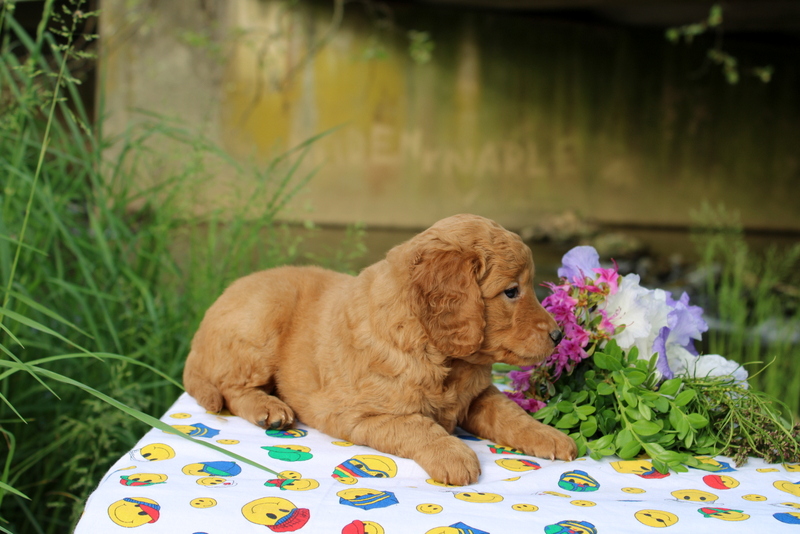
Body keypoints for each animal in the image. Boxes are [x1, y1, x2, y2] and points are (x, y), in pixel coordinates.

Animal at [184, 214, 580, 486]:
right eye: (512, 291)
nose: (559, 334)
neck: (438, 353)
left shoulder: (479, 394)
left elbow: (512, 414)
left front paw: (551, 436)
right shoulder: (360, 416)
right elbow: (418, 426)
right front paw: (454, 455)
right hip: (264, 319)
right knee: (231, 388)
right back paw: (269, 409)